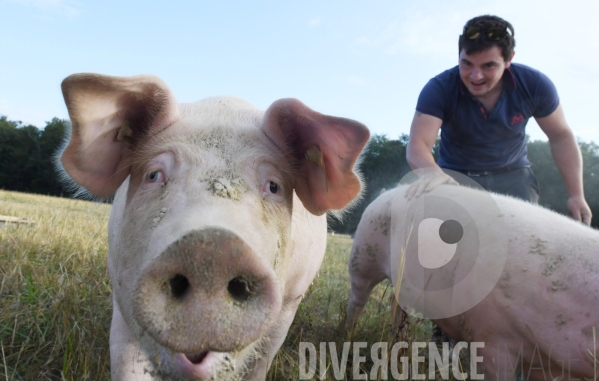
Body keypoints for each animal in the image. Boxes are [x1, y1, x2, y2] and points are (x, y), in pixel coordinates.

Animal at [59, 72, 370, 378]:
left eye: (274, 186)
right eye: (153, 174)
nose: (211, 249)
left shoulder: (290, 301)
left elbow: (259, 364)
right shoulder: (120, 288)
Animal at [346, 183, 599, 378]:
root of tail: (385, 192)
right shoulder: (491, 335)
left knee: (395, 305)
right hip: (362, 255)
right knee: (357, 299)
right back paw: (349, 334)